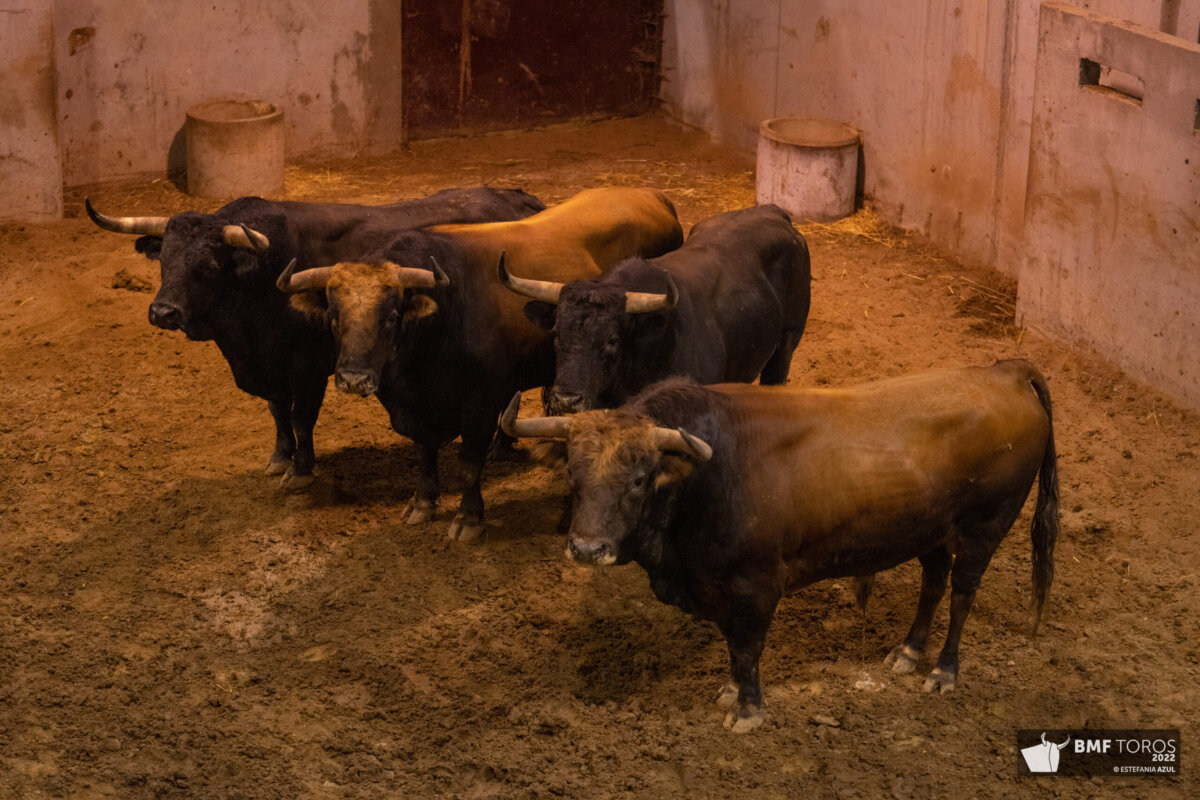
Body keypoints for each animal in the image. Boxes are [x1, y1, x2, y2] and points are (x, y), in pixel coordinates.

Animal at [86, 187, 545, 489]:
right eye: (163, 259)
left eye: (209, 265)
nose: (163, 312)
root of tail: (520, 199)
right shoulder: (272, 367)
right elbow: (278, 413)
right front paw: (279, 457)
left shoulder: (307, 369)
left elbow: (301, 417)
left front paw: (301, 469)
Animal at [275, 187, 684, 540]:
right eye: (334, 315)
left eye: (391, 316)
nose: (353, 379)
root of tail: (651, 195)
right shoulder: (416, 409)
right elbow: (424, 451)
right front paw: (422, 502)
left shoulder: (479, 404)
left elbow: (469, 463)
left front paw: (468, 518)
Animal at [500, 359, 1059, 732]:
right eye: (573, 476)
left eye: (640, 479)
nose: (587, 549)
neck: (710, 476)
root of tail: (1004, 371)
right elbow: (732, 644)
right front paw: (731, 691)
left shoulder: (755, 585)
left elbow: (748, 645)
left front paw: (748, 708)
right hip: (930, 530)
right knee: (934, 582)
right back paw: (908, 651)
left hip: (985, 527)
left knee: (963, 592)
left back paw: (944, 670)